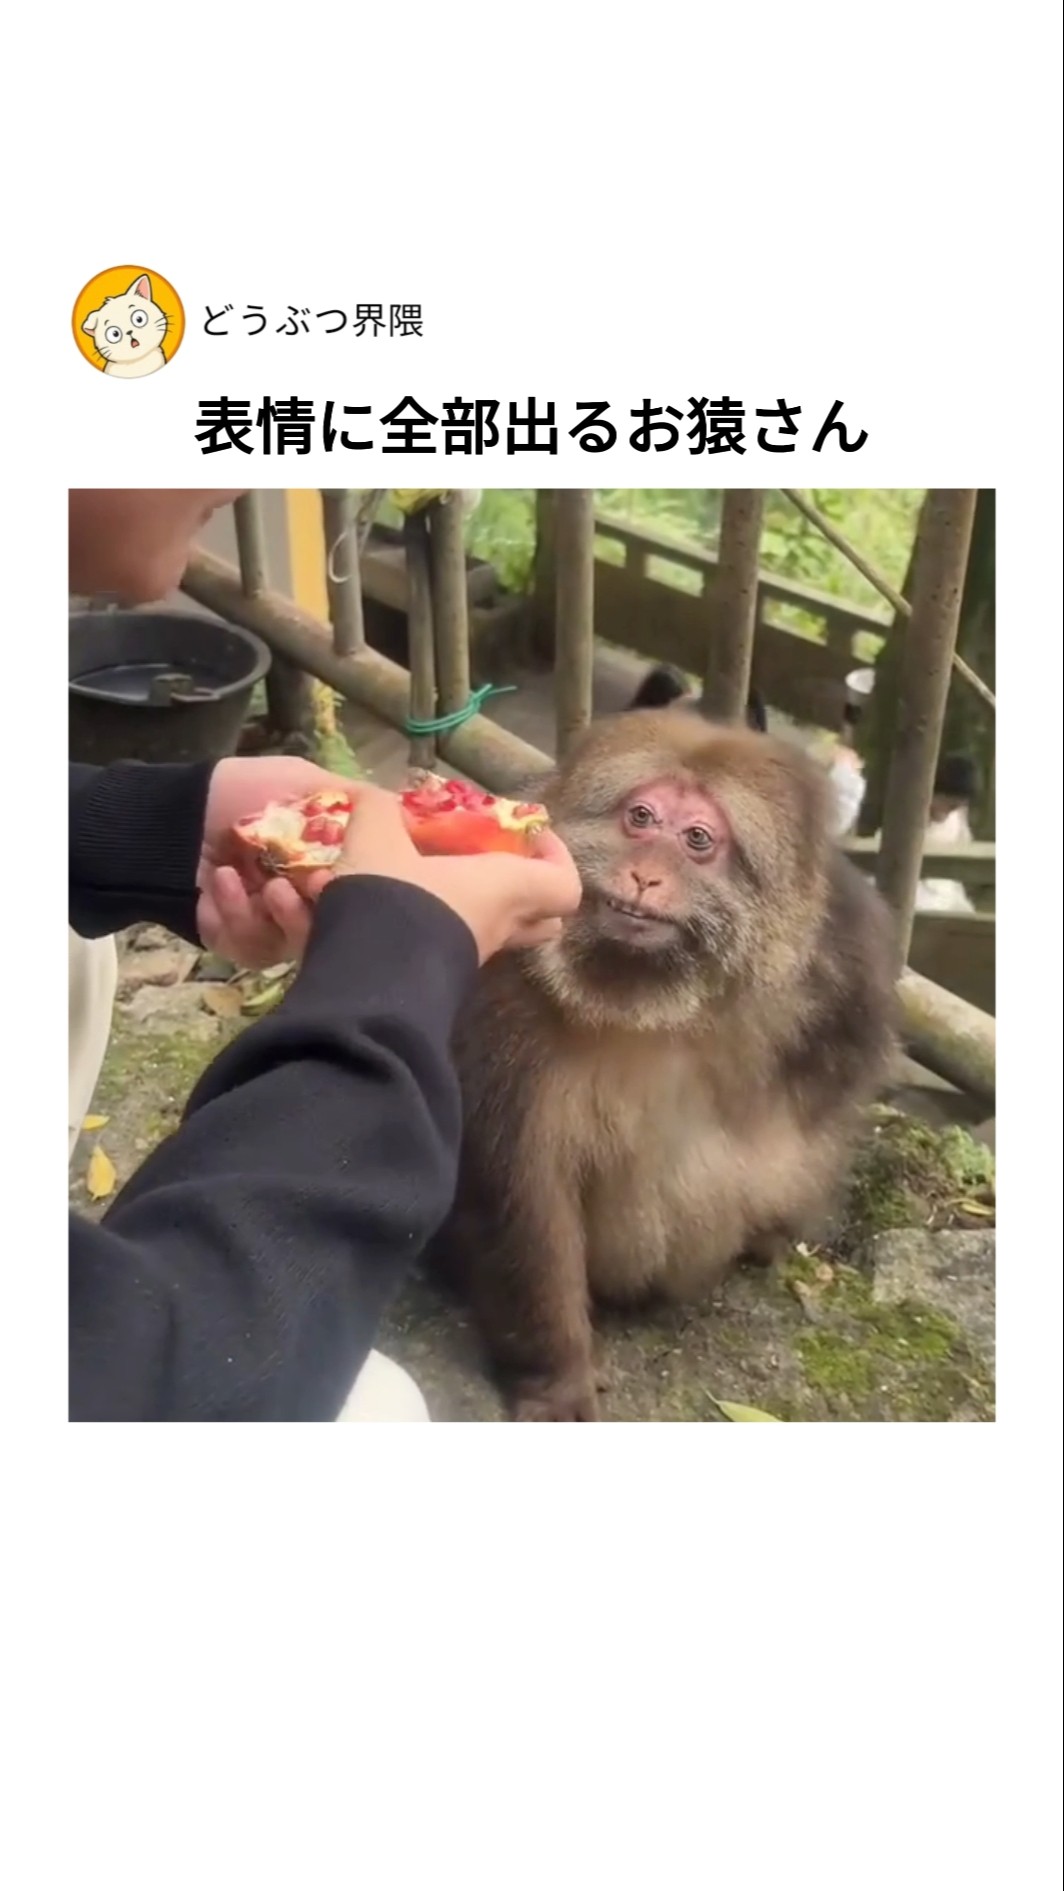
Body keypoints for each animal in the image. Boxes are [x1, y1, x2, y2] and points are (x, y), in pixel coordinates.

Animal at [431, 710, 897, 1421]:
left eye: (698, 839)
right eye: (641, 818)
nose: (646, 874)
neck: (662, 1006)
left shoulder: (845, 967)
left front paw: (778, 1232)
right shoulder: (502, 994)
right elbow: (520, 1190)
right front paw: (559, 1376)